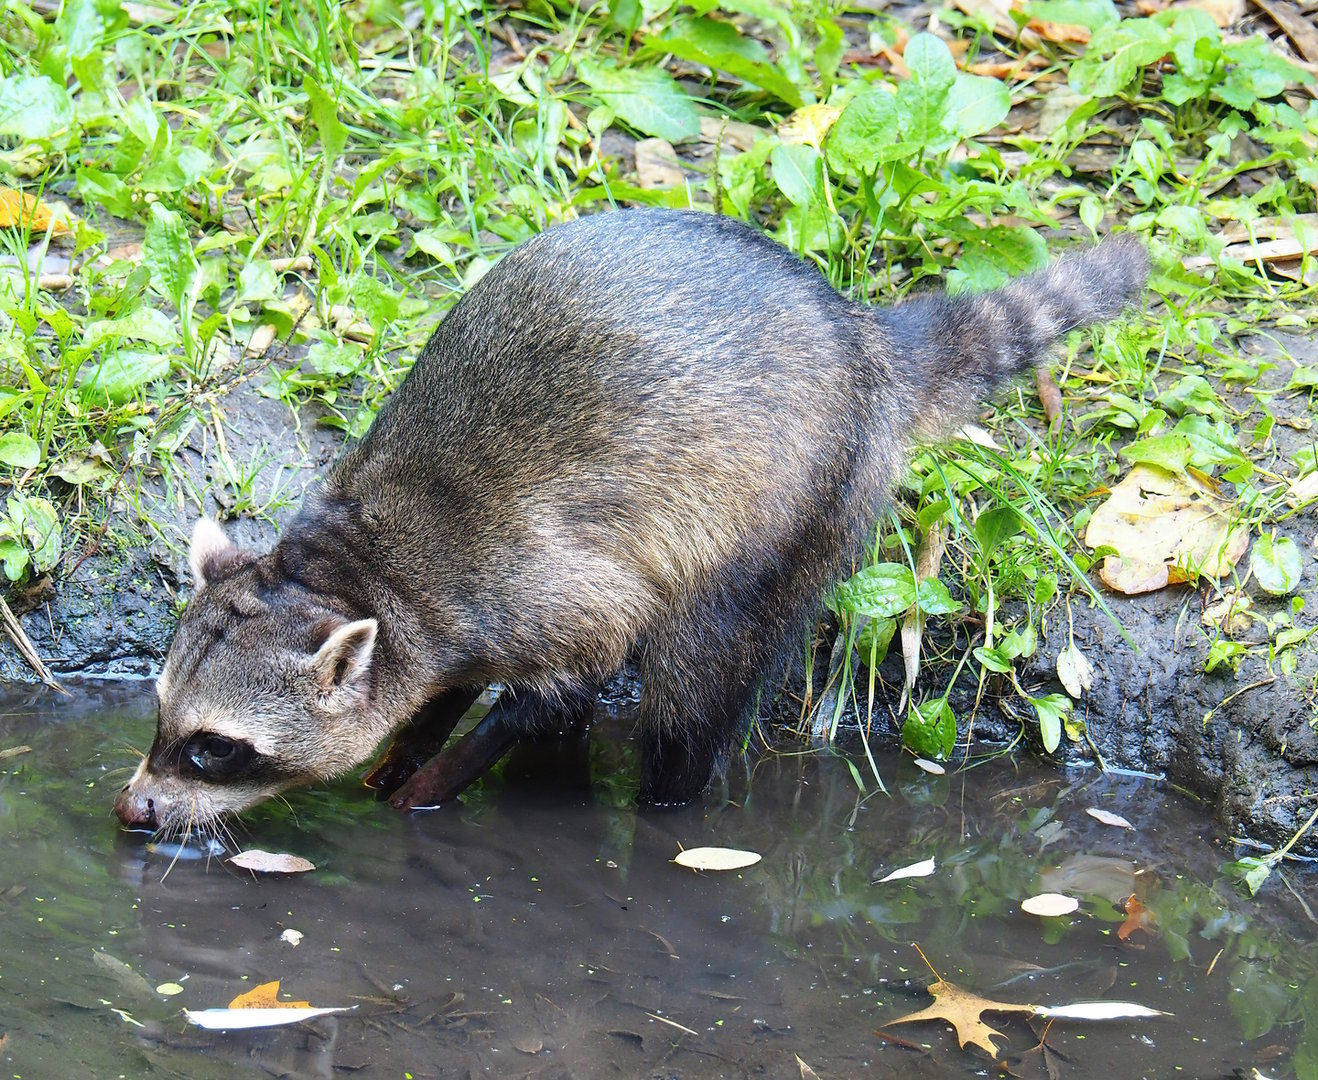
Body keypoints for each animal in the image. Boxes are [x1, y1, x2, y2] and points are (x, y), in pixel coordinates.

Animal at [113, 209, 1147, 836]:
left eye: (214, 748)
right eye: (160, 716)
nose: (134, 811)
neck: (357, 570)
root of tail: (863, 336)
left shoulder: (532, 583)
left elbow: (566, 683)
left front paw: (432, 779)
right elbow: (447, 688)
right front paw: (414, 737)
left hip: (795, 507)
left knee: (696, 681)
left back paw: (668, 802)